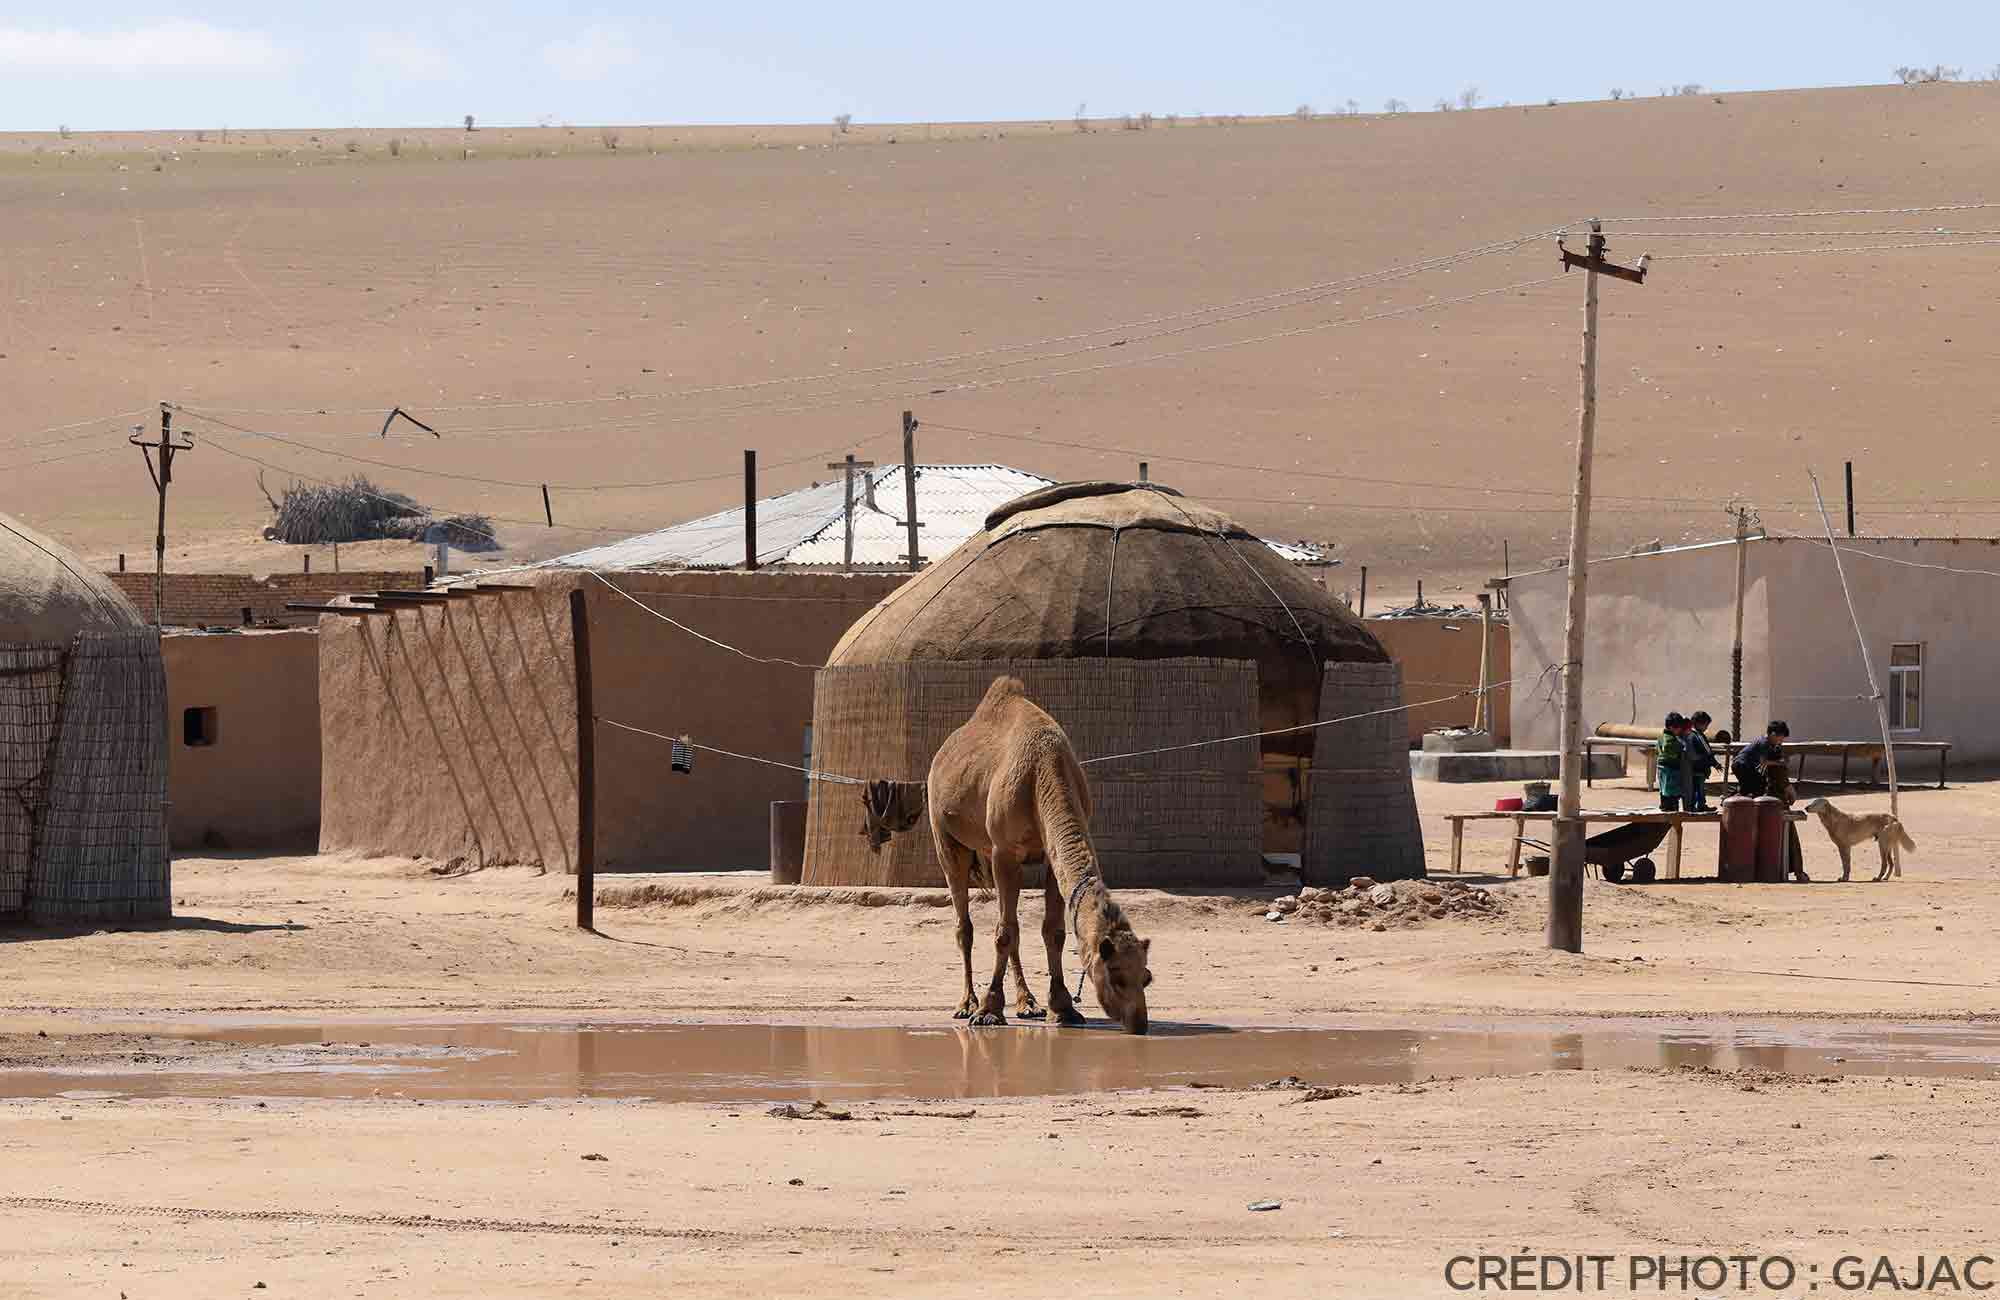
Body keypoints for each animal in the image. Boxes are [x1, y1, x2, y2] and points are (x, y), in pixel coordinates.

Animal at [860, 672, 1160, 1024]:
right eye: (1115, 976)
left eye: (1146, 977)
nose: (1139, 1022)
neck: (1043, 772)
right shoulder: (1004, 852)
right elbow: (1003, 933)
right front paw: (989, 1010)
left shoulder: (1046, 858)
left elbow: (1053, 931)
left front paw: (1063, 1007)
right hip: (945, 837)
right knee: (966, 924)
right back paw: (967, 1004)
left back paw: (1027, 1003)